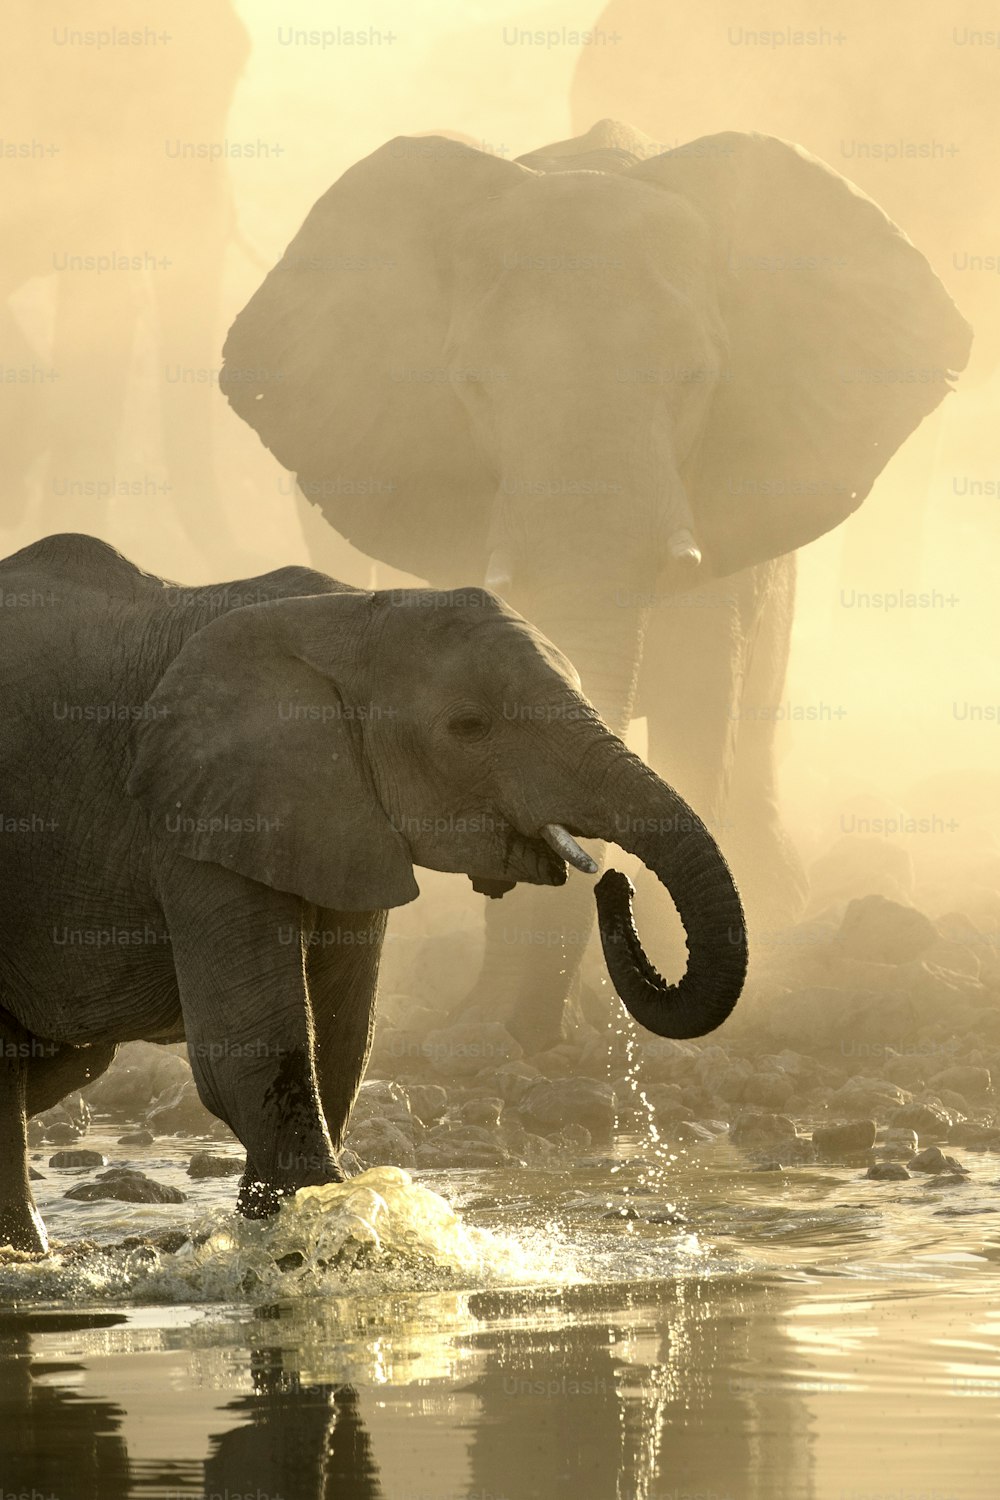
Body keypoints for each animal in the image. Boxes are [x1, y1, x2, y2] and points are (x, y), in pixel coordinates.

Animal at [0, 531, 743, 1254]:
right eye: (469, 726)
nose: (617, 884)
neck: (350, 611)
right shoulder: (192, 821)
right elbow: (250, 1055)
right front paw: (326, 1239)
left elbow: (341, 1042)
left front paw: (292, 1233)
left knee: (55, 1067)